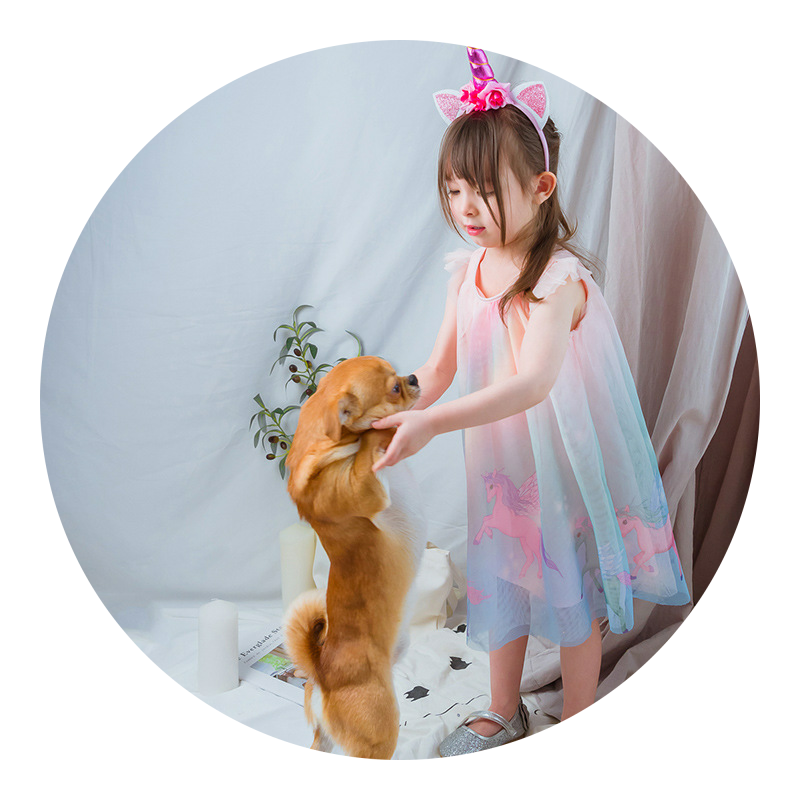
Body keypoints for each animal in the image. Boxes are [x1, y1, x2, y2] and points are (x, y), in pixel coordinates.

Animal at [283, 356, 426, 759]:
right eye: (393, 388)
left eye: (400, 374)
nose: (414, 377)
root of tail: (322, 674)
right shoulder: (365, 488)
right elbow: (367, 450)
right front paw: (376, 432)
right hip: (380, 731)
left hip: (326, 738)